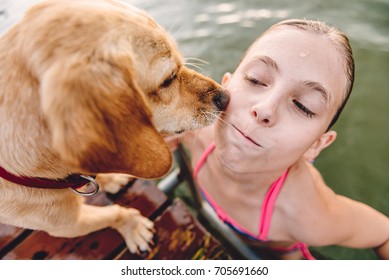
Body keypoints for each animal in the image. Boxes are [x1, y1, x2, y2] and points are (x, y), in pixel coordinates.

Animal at [0, 0, 227, 254]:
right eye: (167, 80)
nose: (225, 97)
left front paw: (111, 179)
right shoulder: (67, 224)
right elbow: (112, 214)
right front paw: (133, 226)